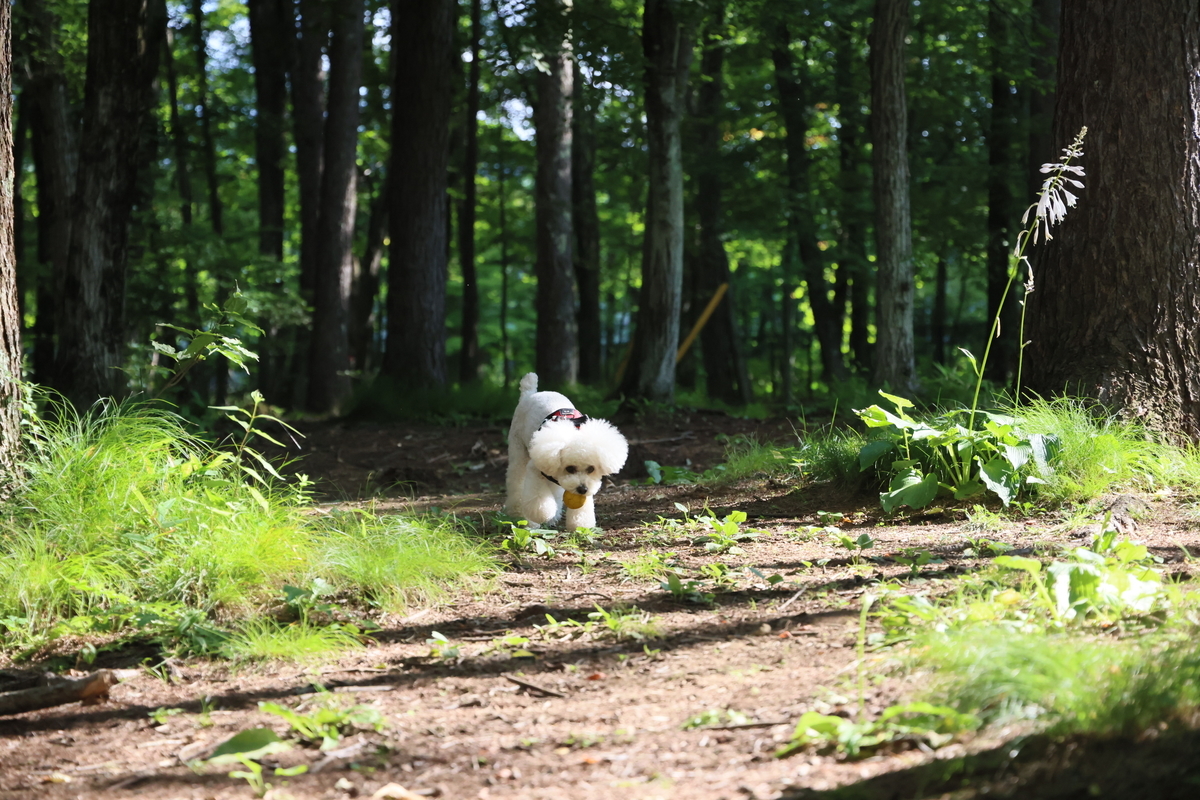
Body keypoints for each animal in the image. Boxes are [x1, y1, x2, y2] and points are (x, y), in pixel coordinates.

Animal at [505, 372, 628, 530]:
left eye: (591, 469)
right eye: (570, 468)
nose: (582, 489)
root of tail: (529, 393)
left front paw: (580, 525)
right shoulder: (535, 468)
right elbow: (538, 500)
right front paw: (541, 515)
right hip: (518, 449)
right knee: (516, 479)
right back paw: (520, 514)